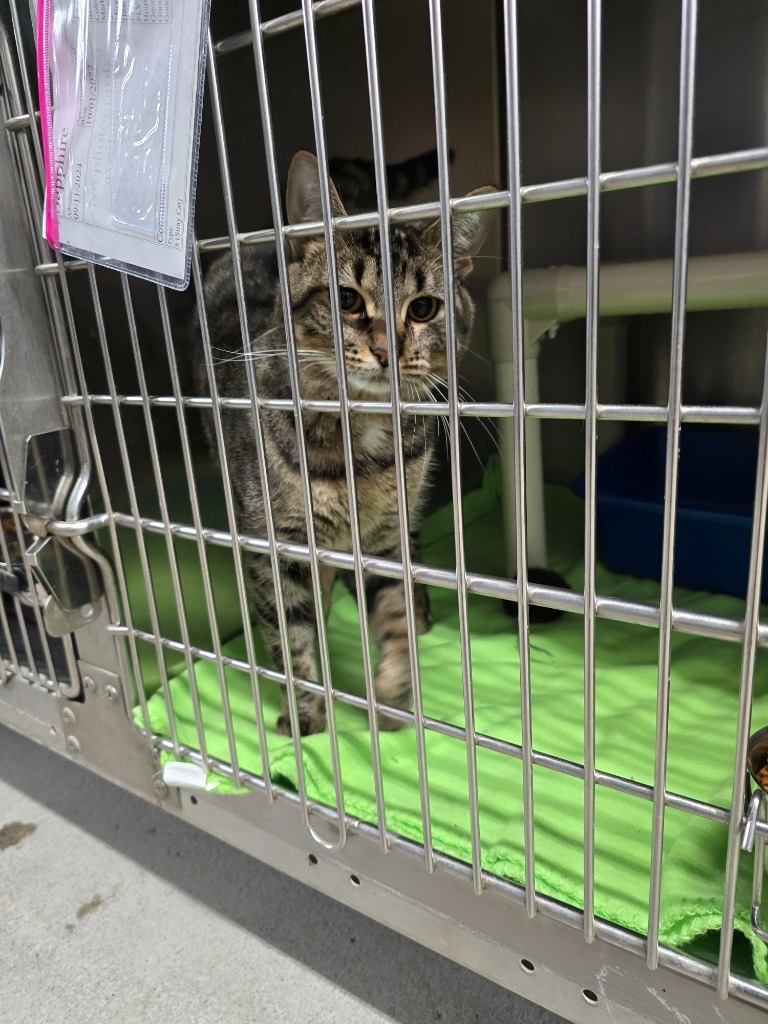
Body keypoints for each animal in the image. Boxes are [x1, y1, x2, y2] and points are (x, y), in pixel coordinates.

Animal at [199, 151, 493, 737]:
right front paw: (306, 713)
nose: (386, 350)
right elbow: (290, 637)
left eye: (423, 308)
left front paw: (395, 688)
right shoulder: (277, 544)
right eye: (347, 299)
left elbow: (394, 615)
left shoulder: (382, 539)